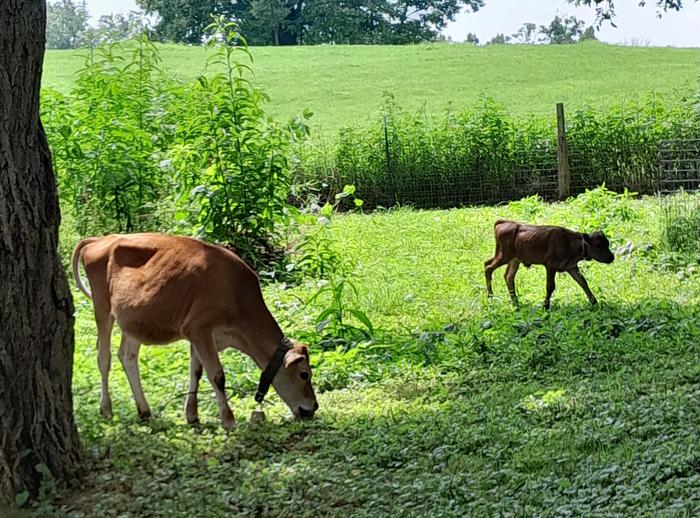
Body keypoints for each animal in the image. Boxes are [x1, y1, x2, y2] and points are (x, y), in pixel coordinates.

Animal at [71, 234, 318, 428]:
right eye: (304, 374)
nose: (313, 407)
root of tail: (101, 239)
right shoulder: (199, 329)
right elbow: (217, 375)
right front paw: (228, 419)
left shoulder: (200, 336)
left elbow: (196, 372)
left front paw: (192, 415)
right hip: (102, 308)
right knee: (104, 357)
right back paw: (106, 408)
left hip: (132, 320)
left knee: (127, 356)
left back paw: (144, 410)